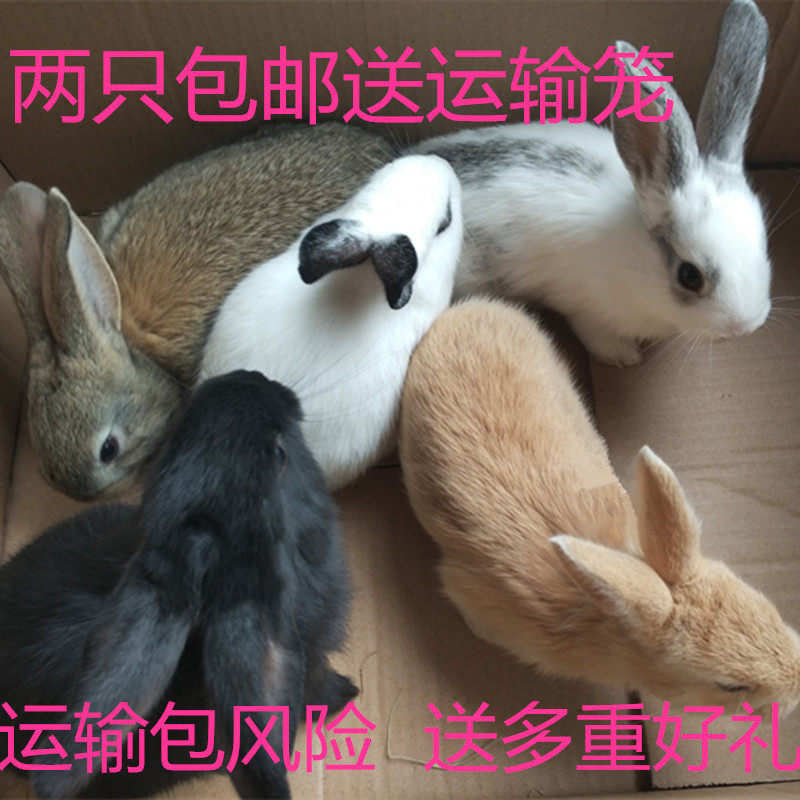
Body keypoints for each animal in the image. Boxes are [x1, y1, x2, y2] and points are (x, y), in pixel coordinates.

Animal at [413, 0, 772, 366]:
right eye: (690, 276)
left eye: (764, 245)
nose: (745, 326)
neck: (638, 252)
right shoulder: (589, 308)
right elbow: (595, 333)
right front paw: (624, 356)